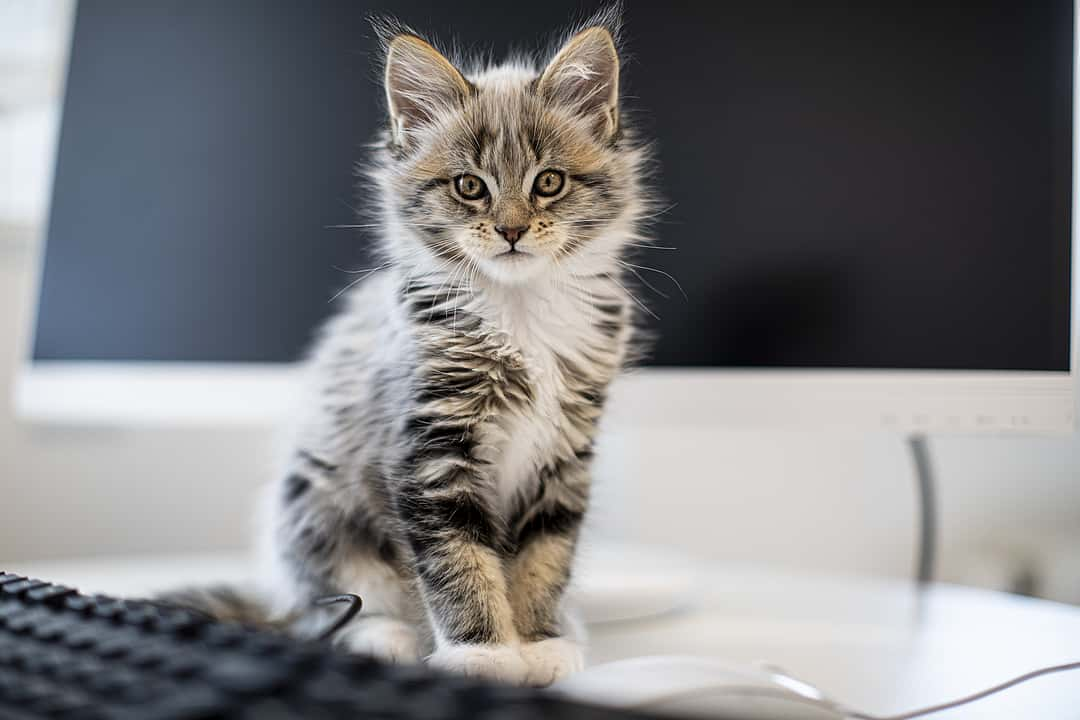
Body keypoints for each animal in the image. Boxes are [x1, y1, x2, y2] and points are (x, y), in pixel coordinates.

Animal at [167, 9, 648, 686]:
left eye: (548, 182)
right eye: (470, 187)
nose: (511, 230)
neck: (517, 310)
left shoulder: (564, 456)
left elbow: (544, 560)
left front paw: (540, 642)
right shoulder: (430, 450)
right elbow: (459, 564)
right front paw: (483, 654)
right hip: (313, 506)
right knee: (328, 608)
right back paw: (384, 637)